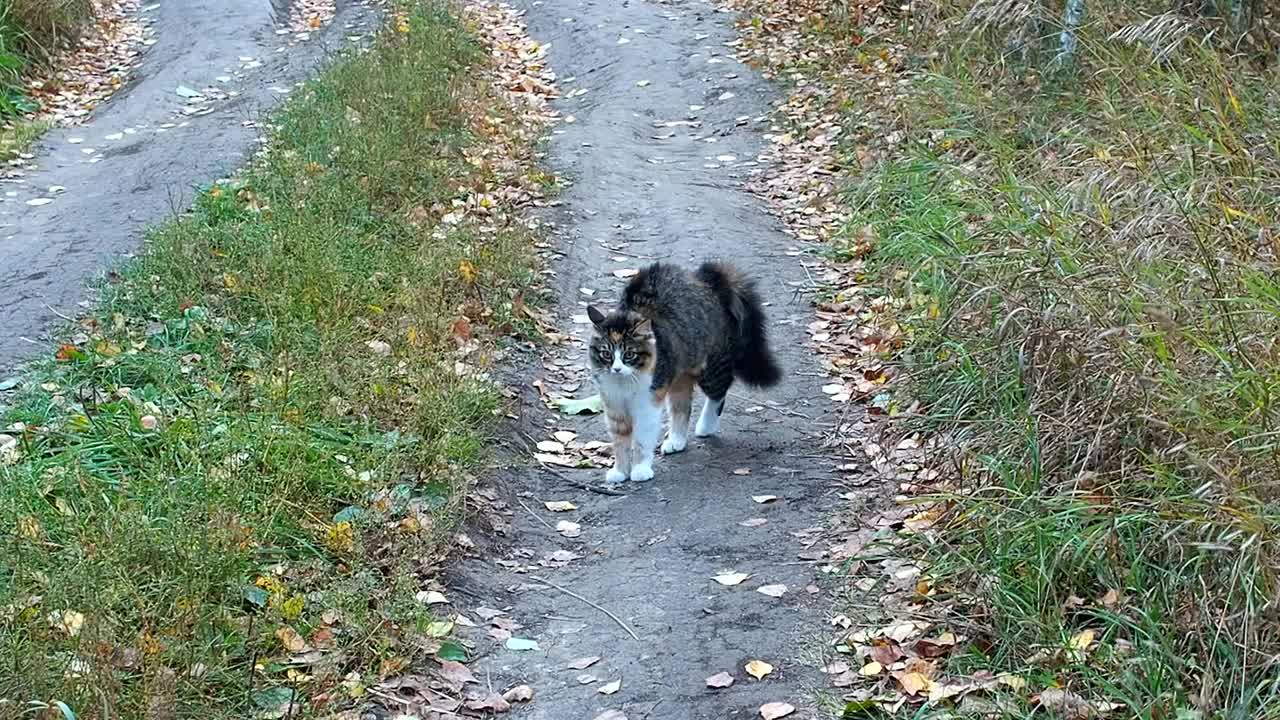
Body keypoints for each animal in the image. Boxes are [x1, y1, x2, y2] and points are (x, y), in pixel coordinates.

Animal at [586, 258, 778, 481]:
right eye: (606, 354)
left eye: (629, 355)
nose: (616, 369)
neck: (624, 383)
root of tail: (706, 280)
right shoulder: (614, 406)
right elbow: (620, 443)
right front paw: (620, 471)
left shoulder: (648, 403)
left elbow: (641, 440)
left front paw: (641, 469)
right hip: (679, 374)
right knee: (682, 408)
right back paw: (676, 440)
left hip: (710, 367)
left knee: (719, 393)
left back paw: (706, 426)